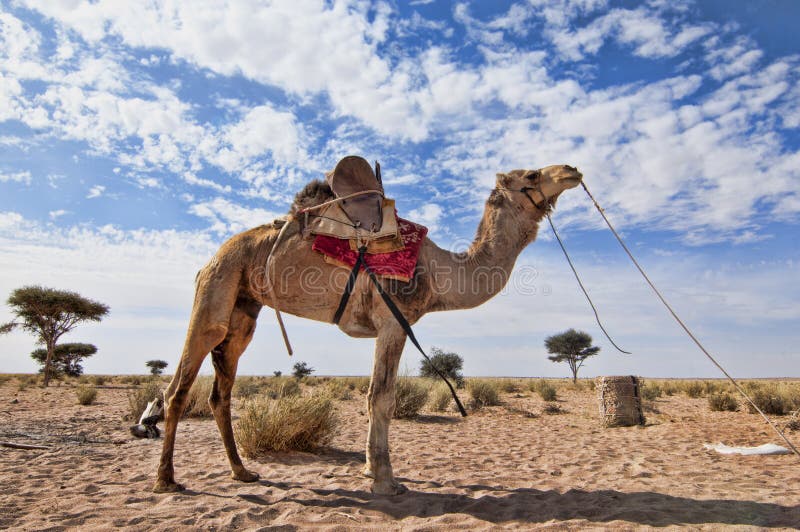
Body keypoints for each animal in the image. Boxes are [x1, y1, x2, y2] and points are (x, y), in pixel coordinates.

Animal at [155, 163, 580, 494]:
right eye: (532, 174)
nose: (571, 170)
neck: (440, 273)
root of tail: (212, 257)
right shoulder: (394, 320)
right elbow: (381, 397)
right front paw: (384, 478)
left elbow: (375, 395)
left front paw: (371, 469)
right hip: (216, 289)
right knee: (178, 387)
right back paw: (166, 479)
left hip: (244, 308)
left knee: (221, 391)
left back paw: (241, 472)